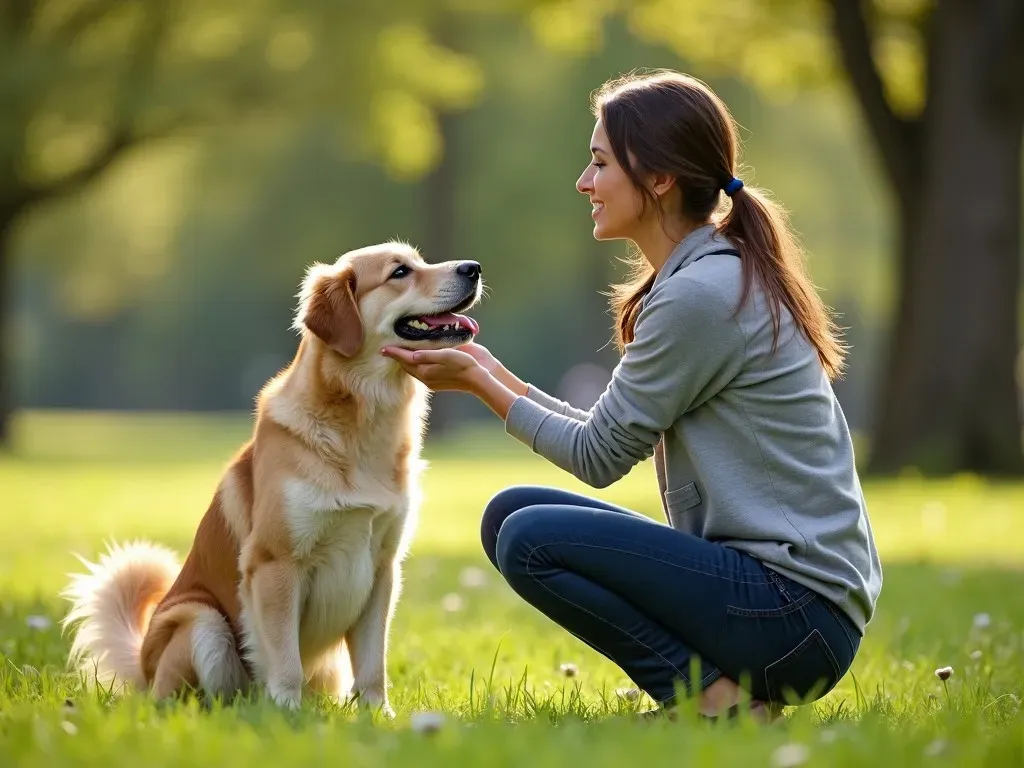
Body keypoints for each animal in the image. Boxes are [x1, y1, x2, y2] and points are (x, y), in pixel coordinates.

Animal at [59, 241, 483, 716]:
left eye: (419, 261)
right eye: (399, 272)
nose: (474, 268)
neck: (362, 421)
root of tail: (143, 673)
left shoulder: (382, 567)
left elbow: (374, 662)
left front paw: (378, 714)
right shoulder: (276, 564)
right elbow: (285, 658)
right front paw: (287, 714)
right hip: (202, 621)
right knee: (198, 696)